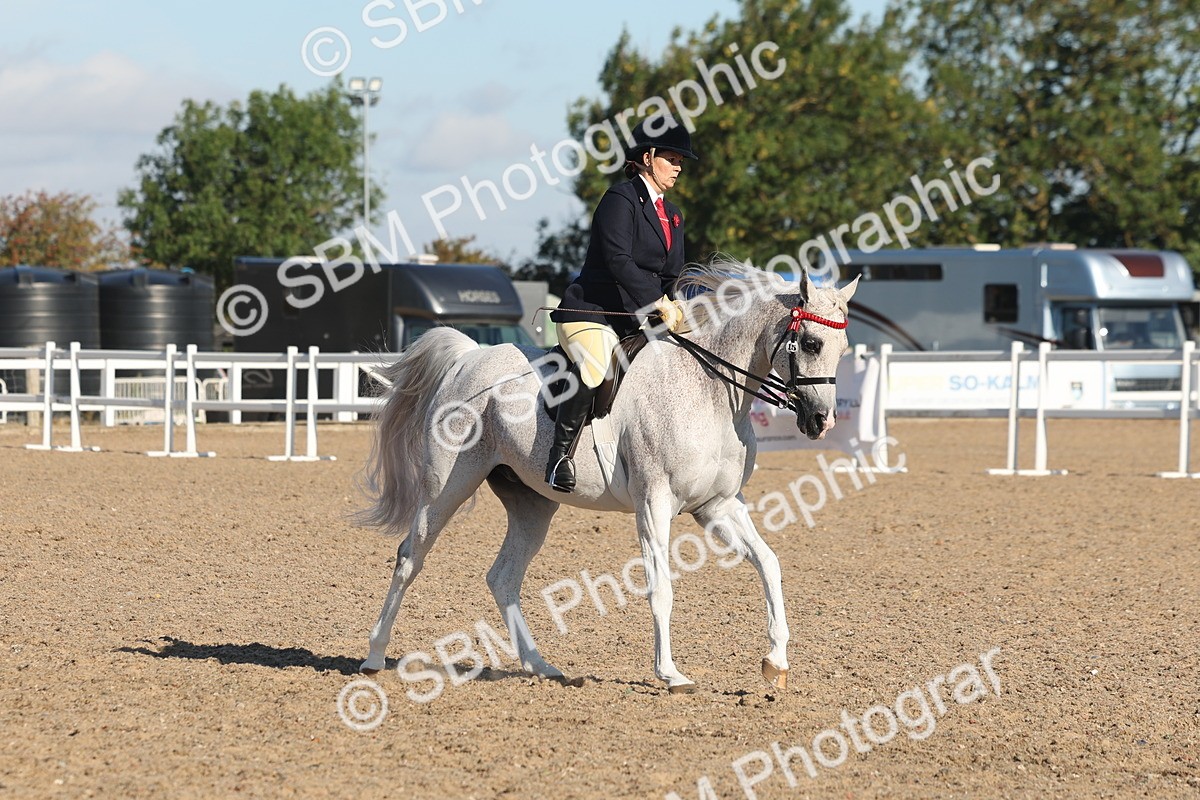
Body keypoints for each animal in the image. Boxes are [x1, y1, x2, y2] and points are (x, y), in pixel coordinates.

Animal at [356, 261, 858, 693]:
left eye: (843, 349)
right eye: (811, 344)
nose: (821, 422)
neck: (709, 389)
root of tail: (468, 358)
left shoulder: (717, 506)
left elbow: (769, 565)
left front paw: (776, 662)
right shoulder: (655, 503)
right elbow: (661, 586)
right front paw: (670, 674)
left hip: (532, 503)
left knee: (503, 577)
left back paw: (542, 665)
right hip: (447, 487)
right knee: (410, 558)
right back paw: (374, 657)